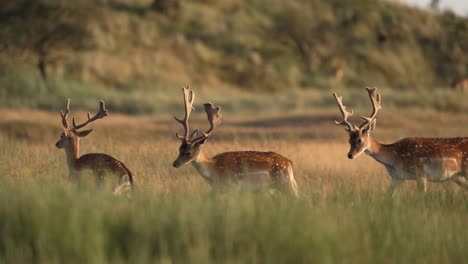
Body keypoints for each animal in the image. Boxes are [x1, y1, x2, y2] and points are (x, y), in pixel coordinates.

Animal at [332, 88, 468, 196]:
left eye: (359, 140)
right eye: (349, 140)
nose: (350, 155)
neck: (394, 158)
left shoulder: (421, 174)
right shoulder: (397, 177)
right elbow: (388, 196)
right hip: (458, 176)